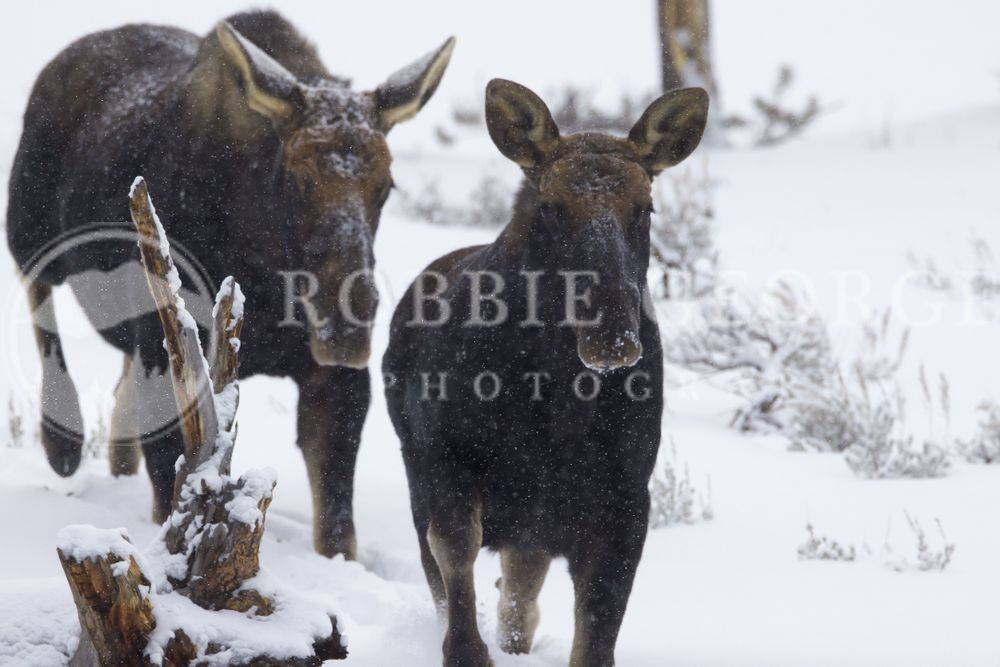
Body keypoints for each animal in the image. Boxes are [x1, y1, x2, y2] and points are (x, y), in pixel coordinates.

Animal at [6, 10, 454, 559]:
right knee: (41, 308)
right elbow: (170, 500)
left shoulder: (331, 377)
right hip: (29, 229)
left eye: (386, 184)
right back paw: (62, 444)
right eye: (296, 177)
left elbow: (336, 532)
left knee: (117, 388)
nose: (347, 322)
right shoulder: (169, 359)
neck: (266, 279)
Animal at [383, 79, 708, 666]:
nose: (612, 335)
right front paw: (465, 651)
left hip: (533, 527)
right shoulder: (446, 465)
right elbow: (454, 561)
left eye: (646, 207)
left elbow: (598, 626)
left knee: (519, 601)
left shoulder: (624, 499)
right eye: (551, 206)